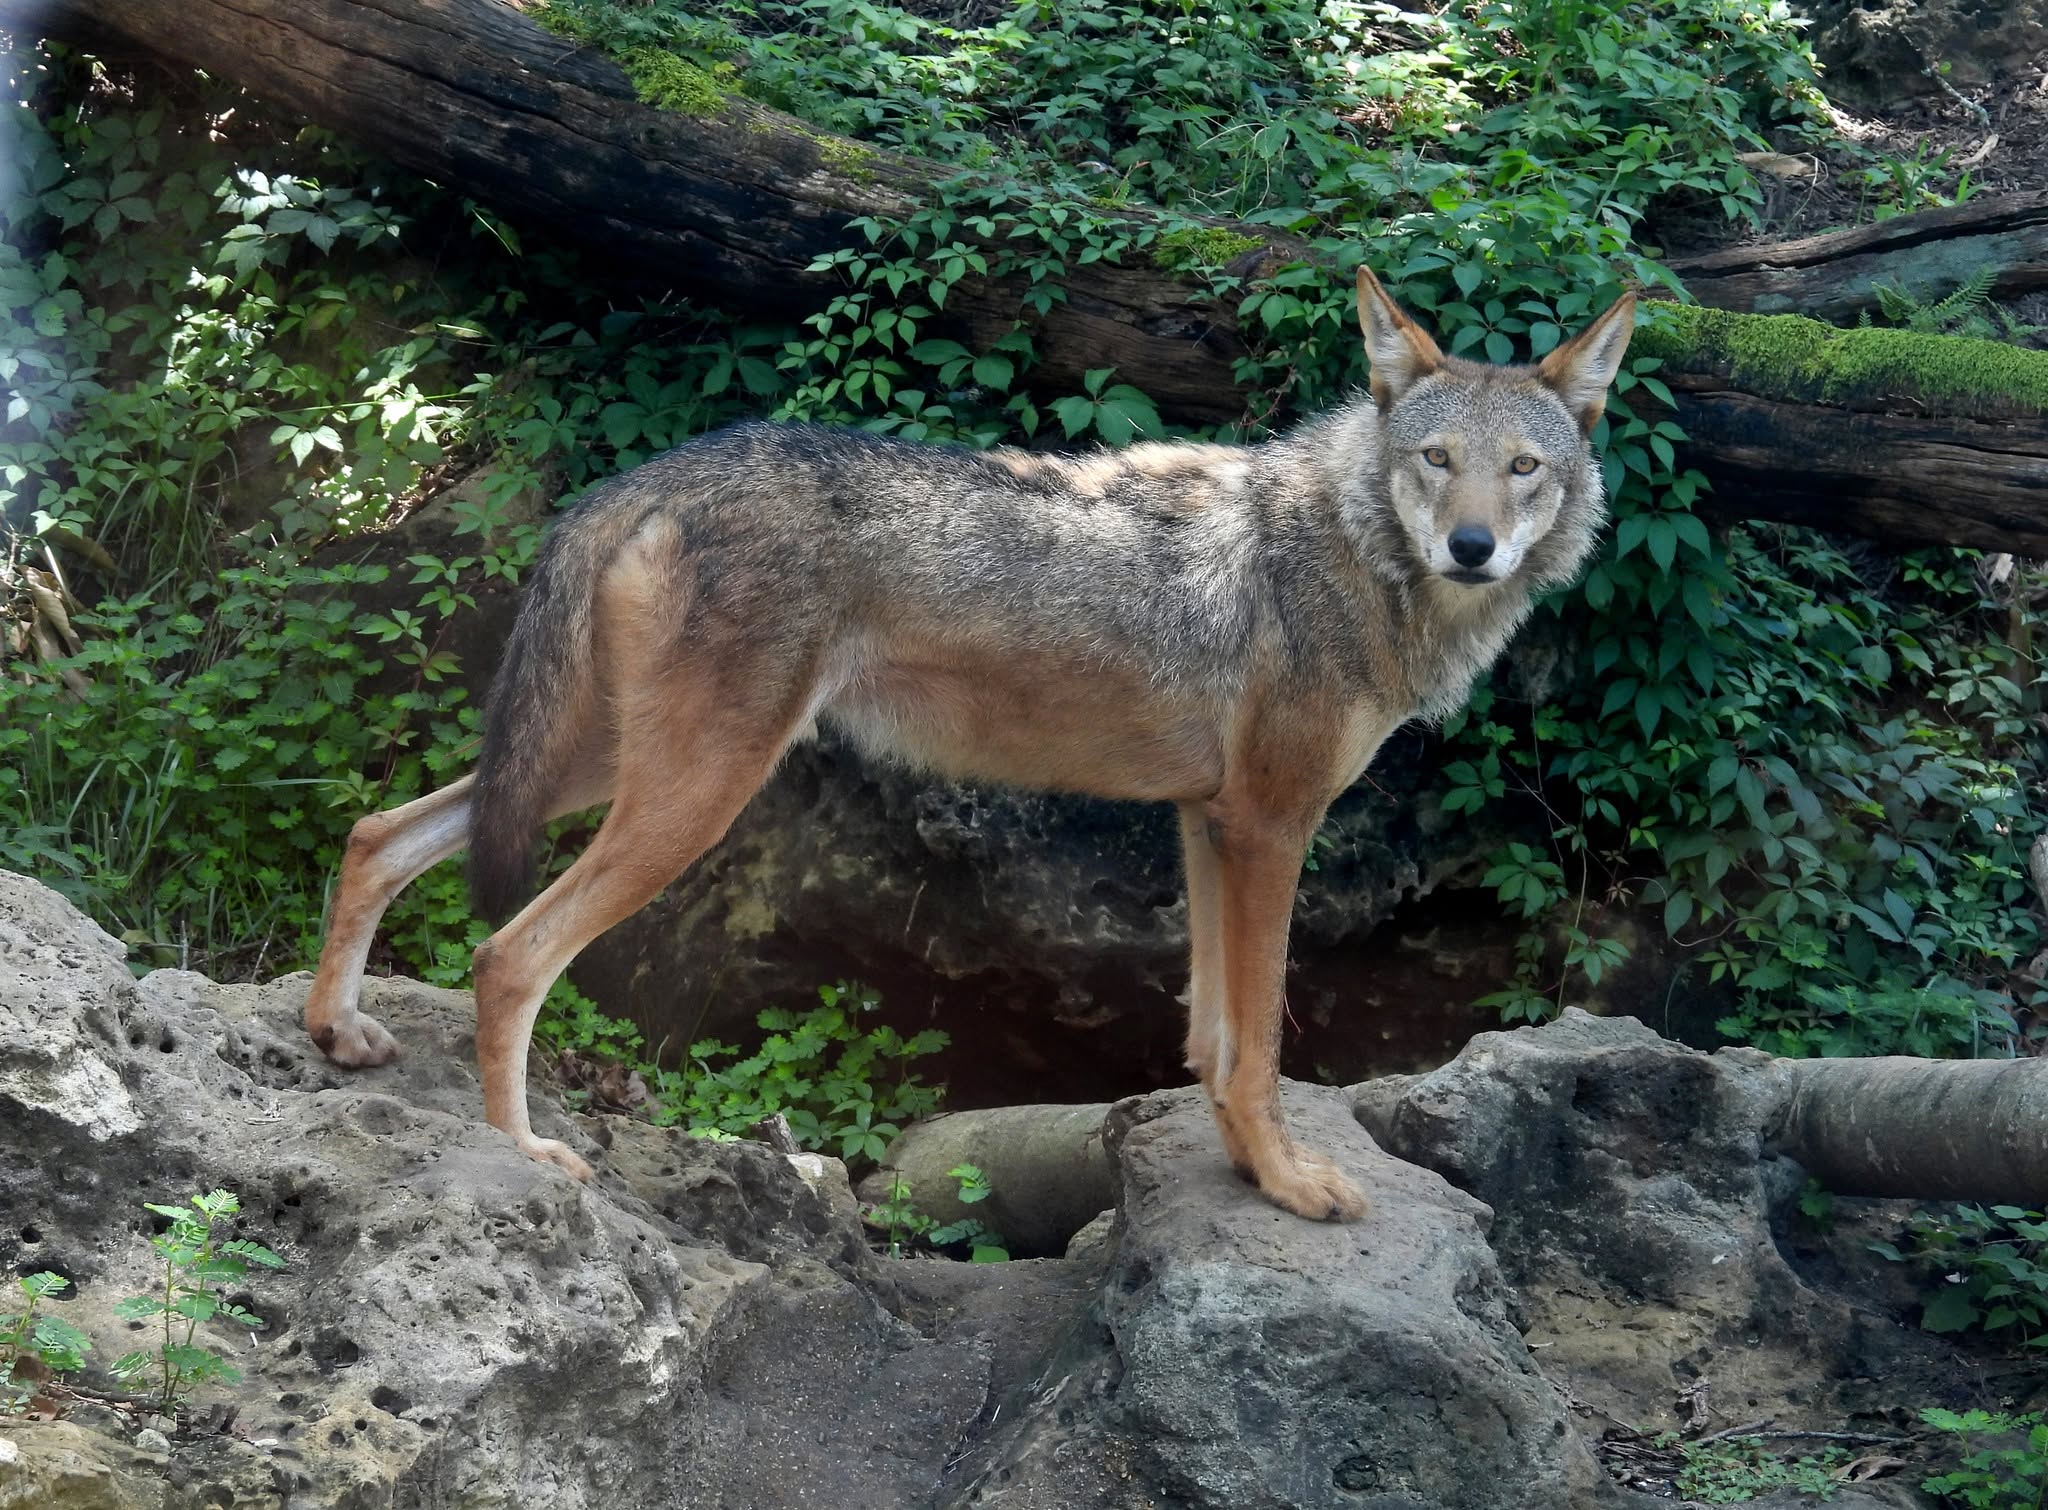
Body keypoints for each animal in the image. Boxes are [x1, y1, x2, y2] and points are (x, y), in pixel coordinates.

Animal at [302, 268, 1634, 1221]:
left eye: (1522, 468)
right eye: (1434, 461)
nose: (1471, 546)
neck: (1352, 550)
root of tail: (648, 472)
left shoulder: (1208, 822)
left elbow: (1209, 1039)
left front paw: (1243, 1172)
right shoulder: (1268, 824)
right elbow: (1256, 1042)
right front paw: (1291, 1184)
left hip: (602, 768)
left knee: (376, 829)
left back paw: (335, 1032)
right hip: (687, 796)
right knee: (506, 953)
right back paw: (520, 1156)